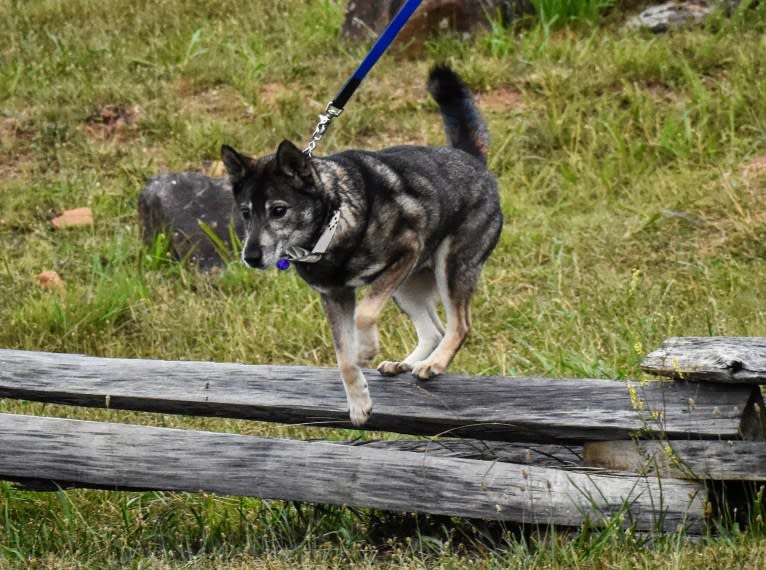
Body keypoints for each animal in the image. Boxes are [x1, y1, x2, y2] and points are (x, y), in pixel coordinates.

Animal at [220, 64, 504, 424]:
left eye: (278, 210)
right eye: (245, 212)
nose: (251, 257)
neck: (334, 222)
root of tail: (471, 158)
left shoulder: (405, 252)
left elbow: (365, 315)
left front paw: (366, 348)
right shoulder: (335, 296)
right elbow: (344, 359)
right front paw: (358, 402)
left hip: (449, 266)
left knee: (459, 325)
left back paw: (433, 364)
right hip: (406, 288)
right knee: (434, 330)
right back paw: (406, 363)